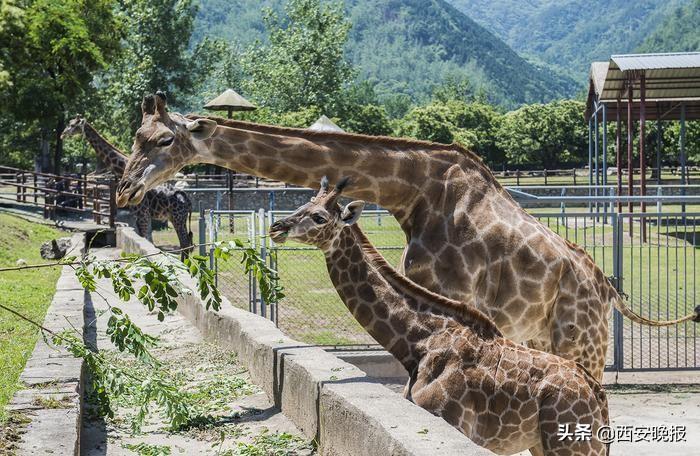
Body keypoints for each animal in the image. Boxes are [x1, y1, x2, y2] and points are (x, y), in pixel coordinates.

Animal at [117, 92, 696, 382]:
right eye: (135, 135)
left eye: (164, 140)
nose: (124, 188)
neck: (412, 193)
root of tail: (608, 289)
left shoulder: (453, 294)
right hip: (542, 335)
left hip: (581, 339)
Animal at [270, 178, 608, 456]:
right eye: (303, 205)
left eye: (319, 217)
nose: (277, 228)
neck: (417, 342)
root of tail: (598, 395)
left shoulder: (452, 421)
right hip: (545, 444)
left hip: (570, 444)